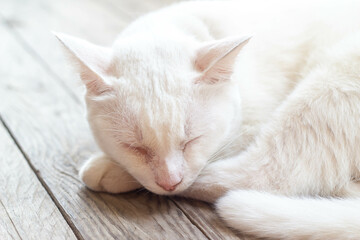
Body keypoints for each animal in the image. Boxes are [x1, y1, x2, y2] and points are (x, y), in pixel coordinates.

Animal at [54, 0, 358, 239]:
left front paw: (111, 169)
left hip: (329, 84)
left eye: (191, 140)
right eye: (135, 147)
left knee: (264, 177)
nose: (169, 182)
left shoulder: (251, 125)